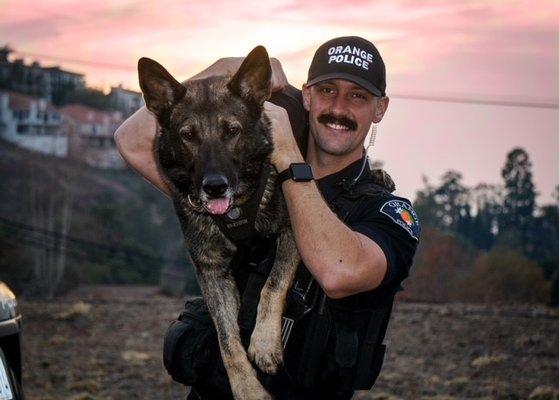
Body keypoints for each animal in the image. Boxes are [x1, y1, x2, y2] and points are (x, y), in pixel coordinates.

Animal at [139, 47, 298, 400]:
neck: (236, 212)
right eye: (188, 136)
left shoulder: (293, 233)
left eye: (232, 131)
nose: (214, 187)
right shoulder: (211, 271)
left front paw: (264, 344)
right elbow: (226, 339)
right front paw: (247, 389)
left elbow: (273, 282)